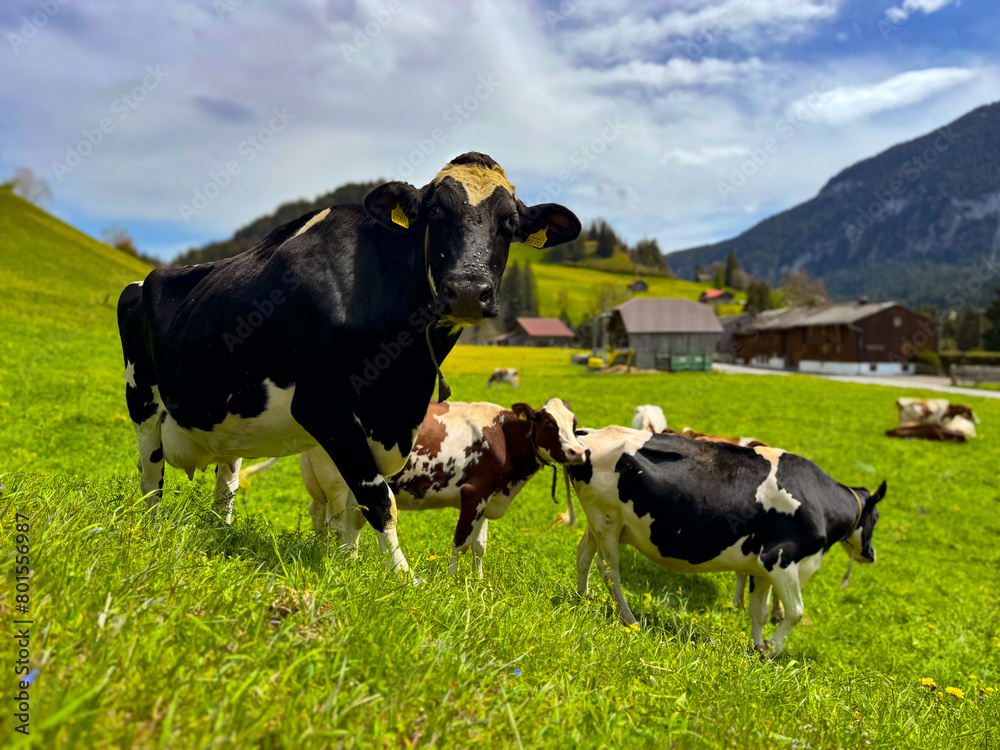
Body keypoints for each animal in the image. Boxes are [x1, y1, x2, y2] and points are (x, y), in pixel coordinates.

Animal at [298, 398, 586, 577]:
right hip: (335, 480)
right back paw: (341, 558)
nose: (578, 452)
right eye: (549, 424)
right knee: (338, 524)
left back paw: (349, 559)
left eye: (574, 425)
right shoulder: (473, 493)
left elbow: (479, 546)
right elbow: (461, 542)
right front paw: (452, 578)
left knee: (345, 521)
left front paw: (479, 581)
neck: (502, 435)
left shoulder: (488, 497)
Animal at [567, 426, 885, 657]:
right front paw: (773, 649)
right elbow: (795, 613)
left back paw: (582, 600)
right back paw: (629, 619)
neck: (818, 499)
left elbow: (759, 612)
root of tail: (588, 433)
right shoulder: (781, 559)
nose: (871, 554)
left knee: (583, 555)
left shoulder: (762, 567)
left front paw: (758, 648)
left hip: (603, 522)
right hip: (607, 519)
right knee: (610, 571)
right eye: (877, 516)